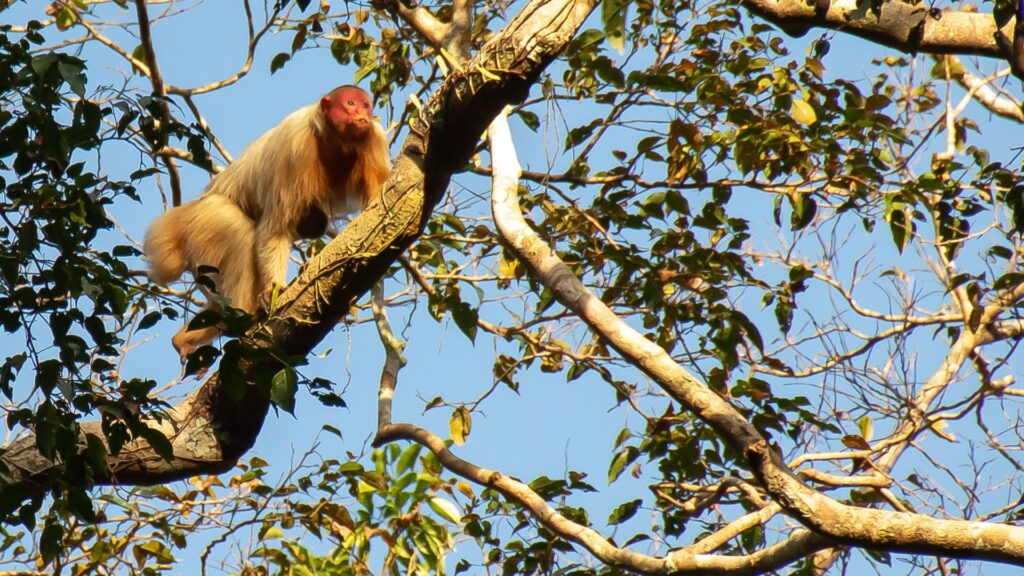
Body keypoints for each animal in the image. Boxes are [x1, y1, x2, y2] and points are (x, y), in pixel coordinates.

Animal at [144, 85, 390, 358]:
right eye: (350, 103)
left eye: (366, 105)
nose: (362, 115)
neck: (334, 138)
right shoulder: (295, 148)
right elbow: (275, 229)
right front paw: (274, 288)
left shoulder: (373, 139)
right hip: (207, 218)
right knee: (239, 228)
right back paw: (244, 314)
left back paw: (185, 338)